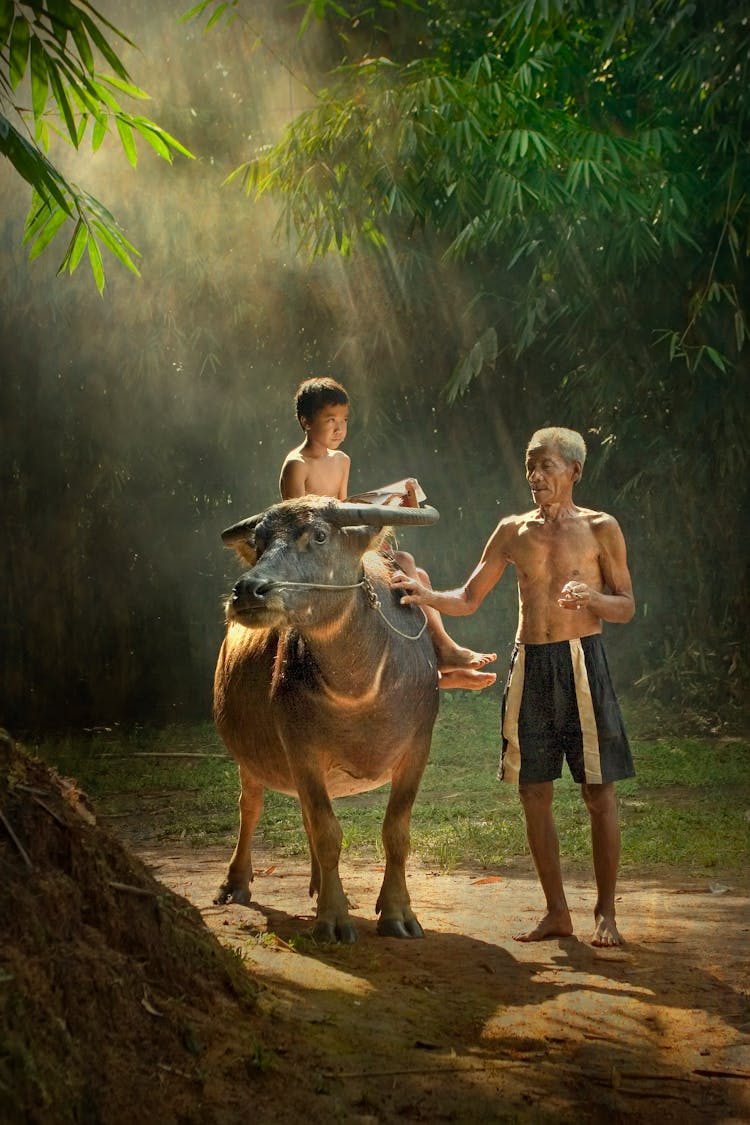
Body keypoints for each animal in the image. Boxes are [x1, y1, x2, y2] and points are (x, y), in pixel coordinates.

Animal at [212, 495, 440, 940]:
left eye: (318, 535)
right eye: (259, 541)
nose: (247, 590)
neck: (360, 688)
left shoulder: (418, 748)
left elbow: (396, 832)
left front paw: (398, 913)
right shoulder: (300, 748)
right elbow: (327, 832)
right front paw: (332, 919)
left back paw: (320, 884)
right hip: (250, 759)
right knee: (251, 806)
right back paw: (236, 882)